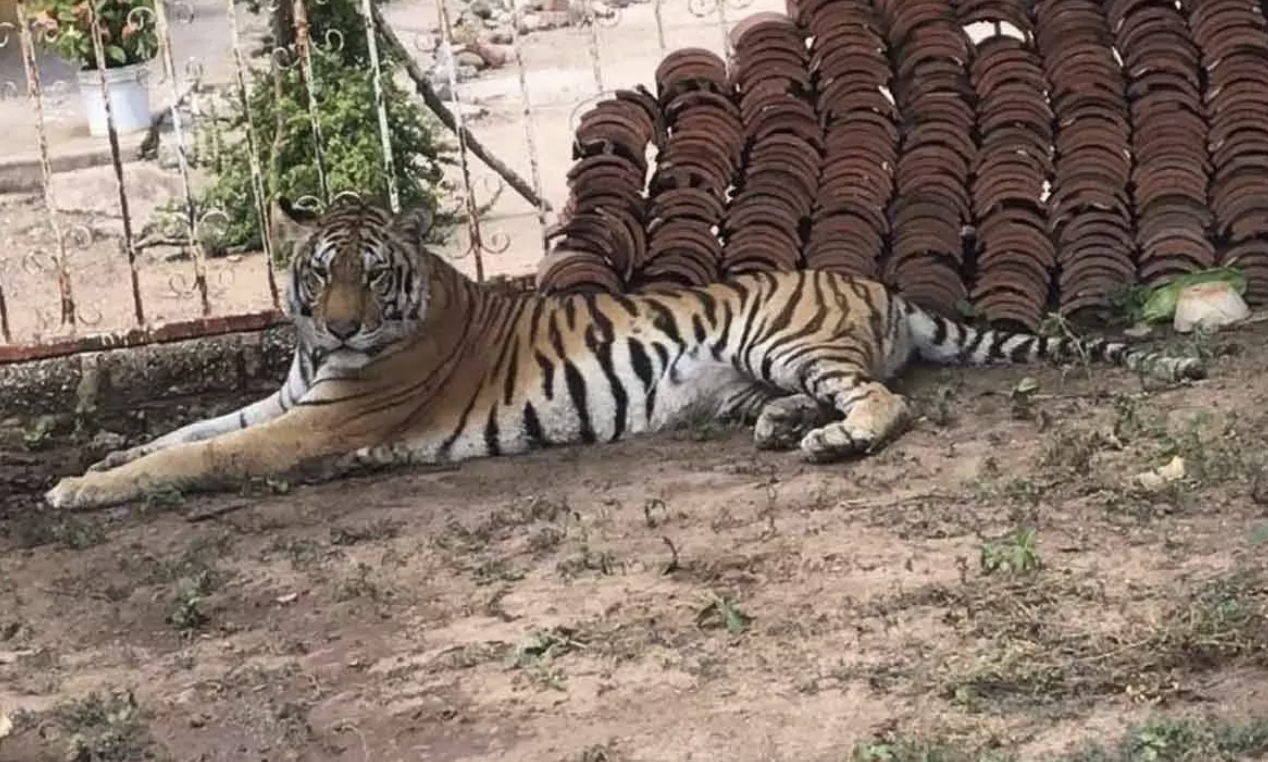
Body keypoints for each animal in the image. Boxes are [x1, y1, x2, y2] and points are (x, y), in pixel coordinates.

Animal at [42, 195, 1207, 512]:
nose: (333, 325)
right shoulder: (288, 398)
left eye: (368, 276)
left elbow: (202, 456)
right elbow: (187, 428)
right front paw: (92, 465)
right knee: (844, 393)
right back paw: (785, 428)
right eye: (316, 271)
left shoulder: (321, 422)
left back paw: (831, 442)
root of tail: (875, 283)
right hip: (763, 366)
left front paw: (76, 494)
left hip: (783, 335)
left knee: (889, 403)